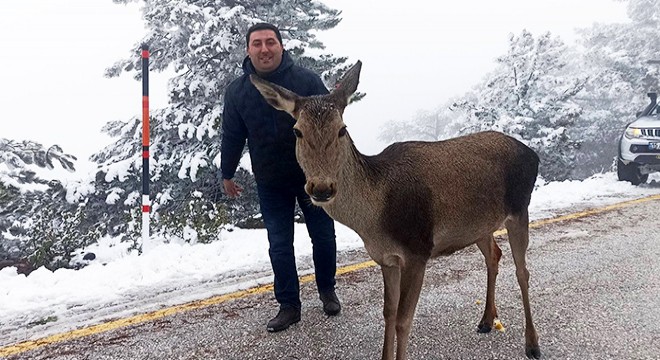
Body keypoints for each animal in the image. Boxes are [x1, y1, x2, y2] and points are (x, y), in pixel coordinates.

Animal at [248, 60, 540, 358]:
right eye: (297, 131)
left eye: (342, 128)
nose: (321, 187)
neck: (375, 221)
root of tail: (533, 154)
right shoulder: (386, 258)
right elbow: (388, 313)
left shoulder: (418, 249)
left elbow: (403, 320)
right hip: (480, 225)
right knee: (494, 256)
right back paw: (486, 321)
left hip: (519, 208)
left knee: (523, 272)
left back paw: (532, 344)